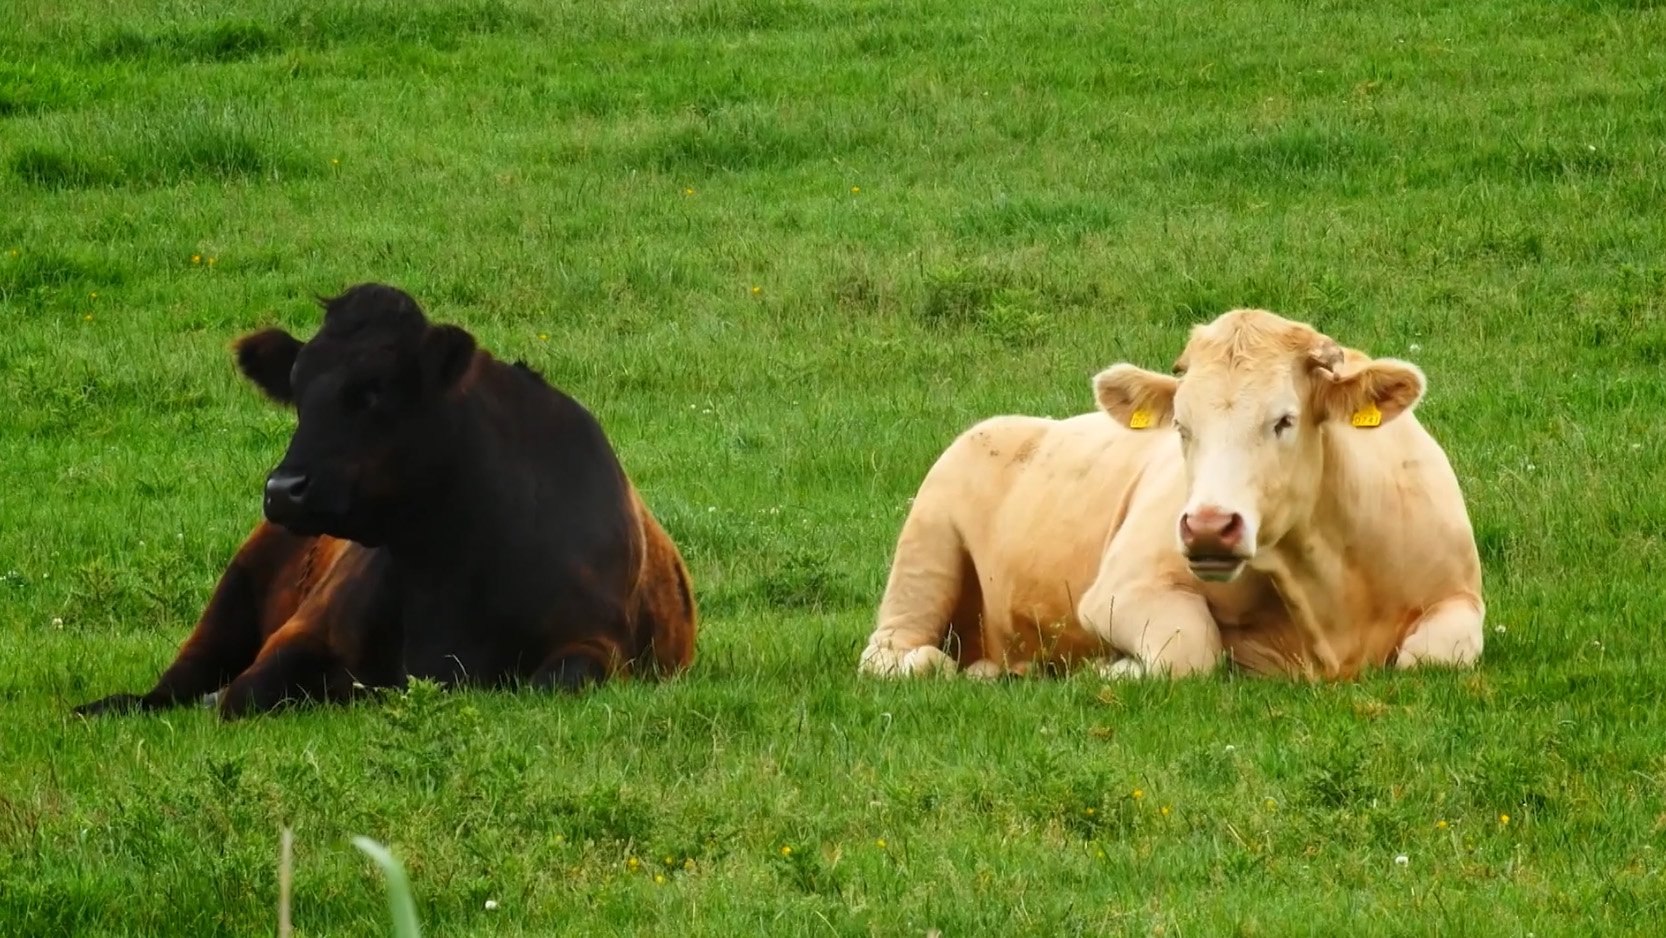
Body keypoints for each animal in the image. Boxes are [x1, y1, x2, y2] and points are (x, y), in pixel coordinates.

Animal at [78, 281, 696, 719]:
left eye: (375, 391)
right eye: (296, 392)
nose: (283, 489)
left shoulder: (596, 643)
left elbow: (551, 682)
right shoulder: (304, 631)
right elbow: (246, 694)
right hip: (232, 596)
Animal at [859, 308, 1486, 683]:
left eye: (1284, 420)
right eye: (1181, 426)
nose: (1209, 525)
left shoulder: (1460, 595)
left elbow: (1433, 656)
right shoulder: (1119, 589)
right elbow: (1191, 650)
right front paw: (1111, 670)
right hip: (926, 551)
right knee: (889, 652)